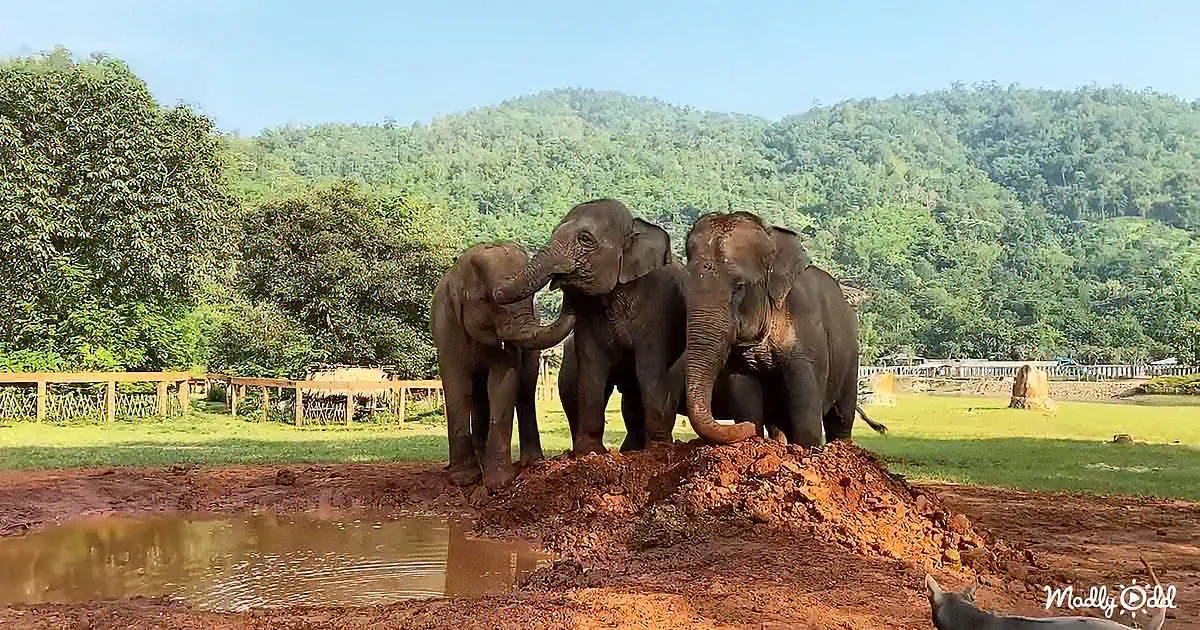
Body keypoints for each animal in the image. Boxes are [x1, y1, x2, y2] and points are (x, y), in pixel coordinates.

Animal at [431, 241, 575, 489]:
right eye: (493, 299)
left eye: (530, 298)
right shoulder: (448, 328)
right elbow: (458, 387)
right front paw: (464, 479)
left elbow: (503, 384)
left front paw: (498, 483)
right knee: (478, 394)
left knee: (525, 391)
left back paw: (533, 463)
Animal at [493, 199, 696, 455]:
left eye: (585, 239)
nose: (495, 291)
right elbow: (592, 365)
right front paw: (589, 451)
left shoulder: (659, 306)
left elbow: (650, 366)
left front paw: (659, 449)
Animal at [679, 210, 887, 447]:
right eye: (685, 287)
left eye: (739, 287)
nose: (742, 428)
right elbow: (746, 400)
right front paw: (753, 431)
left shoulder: (807, 331)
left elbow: (806, 414)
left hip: (851, 357)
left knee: (840, 418)